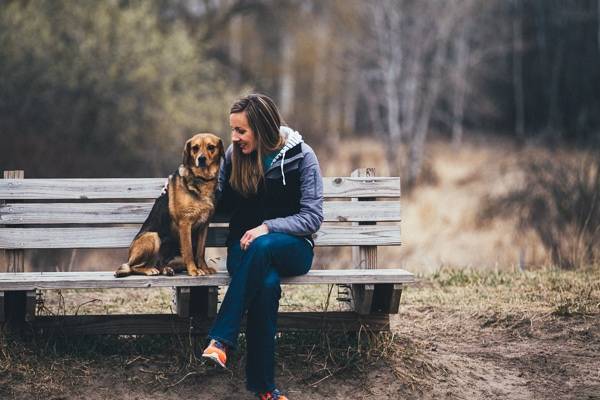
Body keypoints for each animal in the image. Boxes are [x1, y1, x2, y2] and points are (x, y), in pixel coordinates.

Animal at [113, 133, 224, 276]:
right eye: (195, 148)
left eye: (211, 147)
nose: (201, 159)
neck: (202, 180)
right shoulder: (185, 224)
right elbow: (189, 252)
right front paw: (194, 270)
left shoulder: (204, 226)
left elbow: (200, 252)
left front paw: (204, 268)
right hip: (153, 237)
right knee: (134, 267)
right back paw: (150, 270)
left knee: (159, 264)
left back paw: (166, 269)